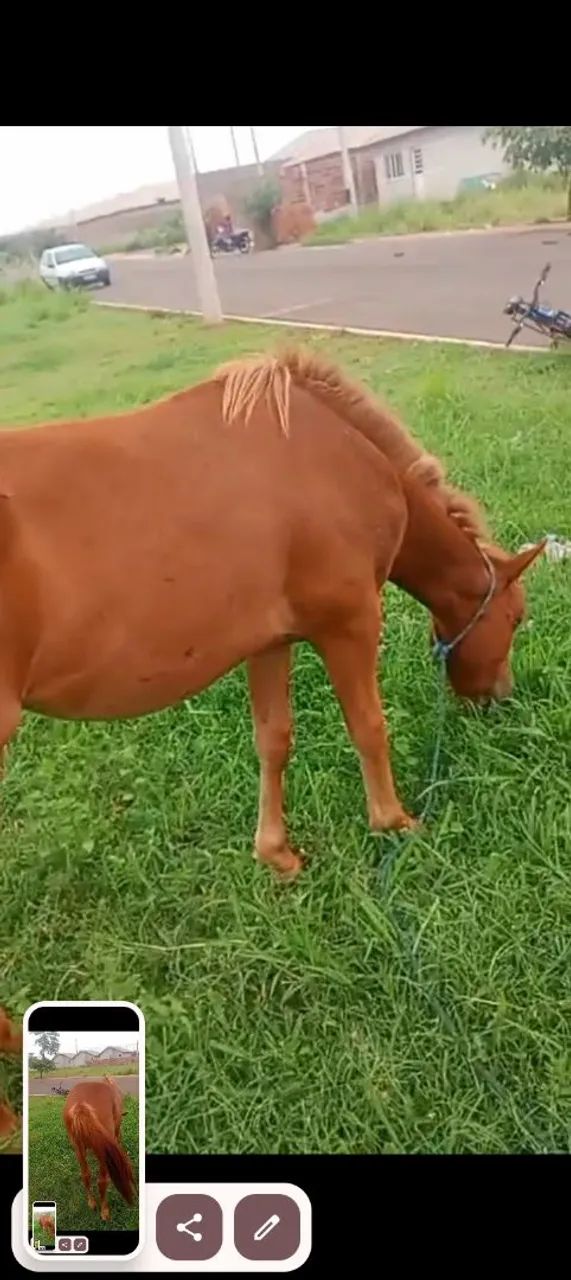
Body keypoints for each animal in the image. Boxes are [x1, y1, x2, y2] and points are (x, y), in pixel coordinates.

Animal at [0, 349, 543, 876]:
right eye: (515, 618)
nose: (500, 696)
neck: (341, 455)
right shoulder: (351, 623)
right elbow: (369, 727)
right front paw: (394, 822)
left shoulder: (268, 641)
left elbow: (273, 740)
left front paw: (275, 852)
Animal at [63, 1076, 135, 1221]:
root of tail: (80, 1106)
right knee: (102, 1181)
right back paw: (104, 1211)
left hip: (78, 1148)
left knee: (85, 1175)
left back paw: (92, 1203)